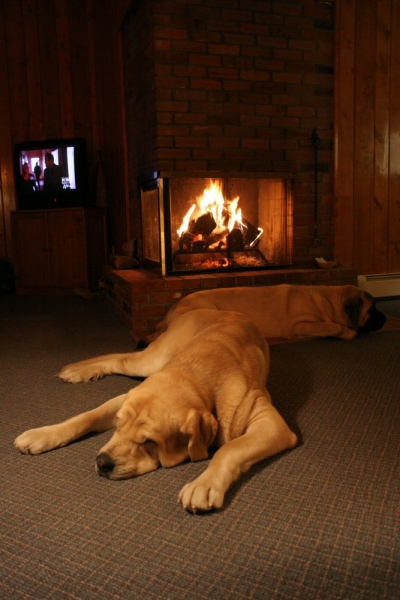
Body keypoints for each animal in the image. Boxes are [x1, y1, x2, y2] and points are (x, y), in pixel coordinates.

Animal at [14, 312, 296, 512]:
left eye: (148, 441)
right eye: (118, 425)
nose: (102, 463)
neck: (196, 376)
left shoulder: (271, 424)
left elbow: (230, 448)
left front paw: (204, 484)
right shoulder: (125, 399)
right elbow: (87, 416)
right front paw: (42, 434)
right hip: (151, 360)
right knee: (119, 358)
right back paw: (79, 370)